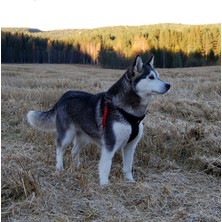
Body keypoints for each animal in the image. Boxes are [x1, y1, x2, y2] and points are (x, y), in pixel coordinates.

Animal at [26, 54, 171, 185]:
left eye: (158, 75)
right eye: (151, 77)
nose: (168, 85)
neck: (129, 112)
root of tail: (63, 96)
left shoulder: (131, 145)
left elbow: (128, 167)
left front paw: (130, 181)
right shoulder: (110, 145)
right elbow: (106, 166)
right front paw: (104, 184)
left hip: (83, 137)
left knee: (74, 151)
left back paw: (77, 167)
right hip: (67, 135)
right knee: (59, 150)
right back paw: (59, 168)